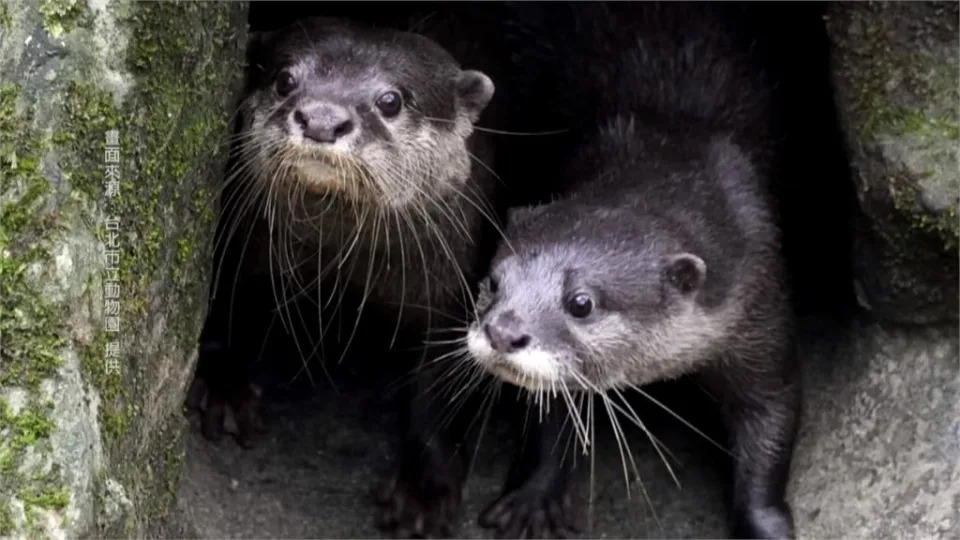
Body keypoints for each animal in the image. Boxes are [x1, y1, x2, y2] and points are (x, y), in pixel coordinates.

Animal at [195, 14, 510, 536]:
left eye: (391, 100)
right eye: (285, 80)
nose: (323, 120)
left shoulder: (451, 293)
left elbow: (439, 393)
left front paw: (424, 488)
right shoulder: (241, 239)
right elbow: (228, 306)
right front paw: (224, 388)